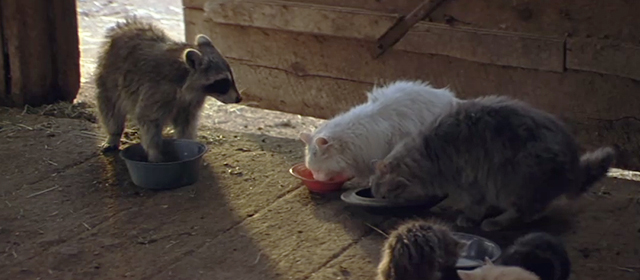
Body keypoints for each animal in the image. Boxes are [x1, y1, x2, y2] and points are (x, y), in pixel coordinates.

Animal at [95, 15, 242, 162]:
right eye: (223, 82)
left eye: (231, 78)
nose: (239, 99)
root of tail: (126, 29)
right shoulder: (157, 92)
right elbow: (148, 119)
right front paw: (155, 152)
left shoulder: (191, 102)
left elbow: (186, 123)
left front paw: (189, 142)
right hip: (109, 79)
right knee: (111, 110)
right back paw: (114, 134)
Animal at [370, 95, 616, 231]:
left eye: (383, 194)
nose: (378, 199)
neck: (431, 152)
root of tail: (573, 168)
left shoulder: (472, 182)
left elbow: (475, 205)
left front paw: (470, 217)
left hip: (519, 176)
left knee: (527, 211)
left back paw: (497, 221)